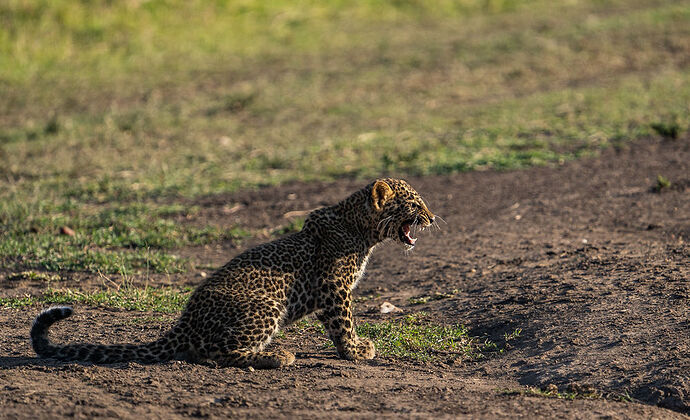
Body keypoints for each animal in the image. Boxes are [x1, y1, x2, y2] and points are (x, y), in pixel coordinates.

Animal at [30, 179, 436, 370]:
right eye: (416, 204)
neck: (361, 229)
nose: (432, 218)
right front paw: (357, 351)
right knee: (215, 353)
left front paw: (350, 350)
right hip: (266, 305)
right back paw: (277, 356)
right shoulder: (336, 290)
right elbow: (345, 325)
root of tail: (184, 323)